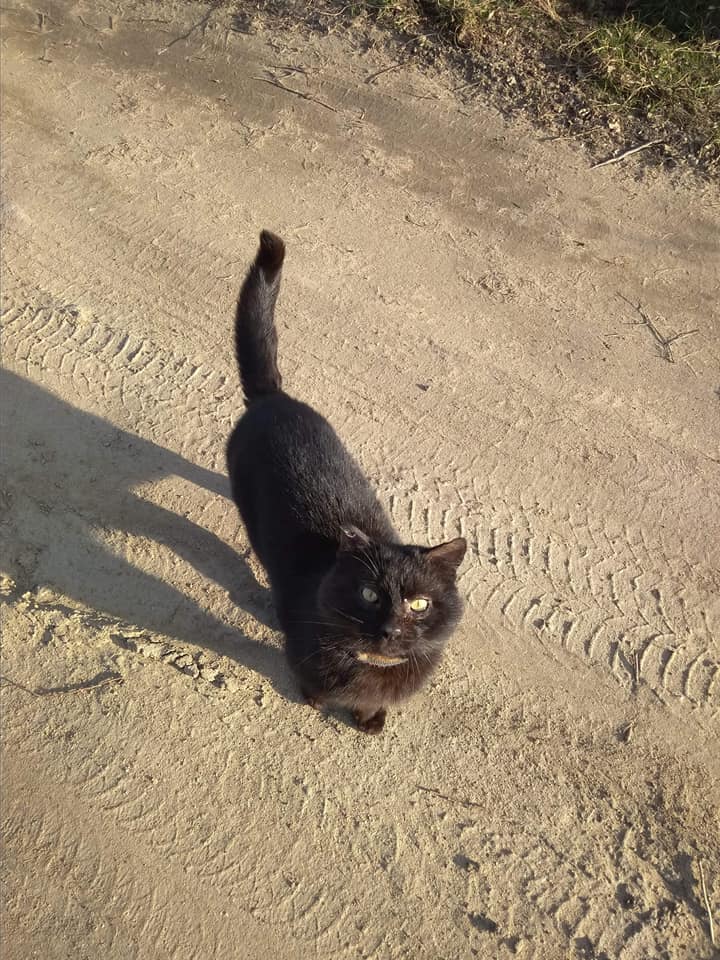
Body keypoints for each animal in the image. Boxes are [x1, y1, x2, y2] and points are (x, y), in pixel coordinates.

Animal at [226, 230, 466, 734]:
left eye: (420, 604)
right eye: (369, 594)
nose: (391, 629)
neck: (372, 665)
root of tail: (274, 399)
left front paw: (370, 718)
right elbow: (314, 684)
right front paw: (317, 701)